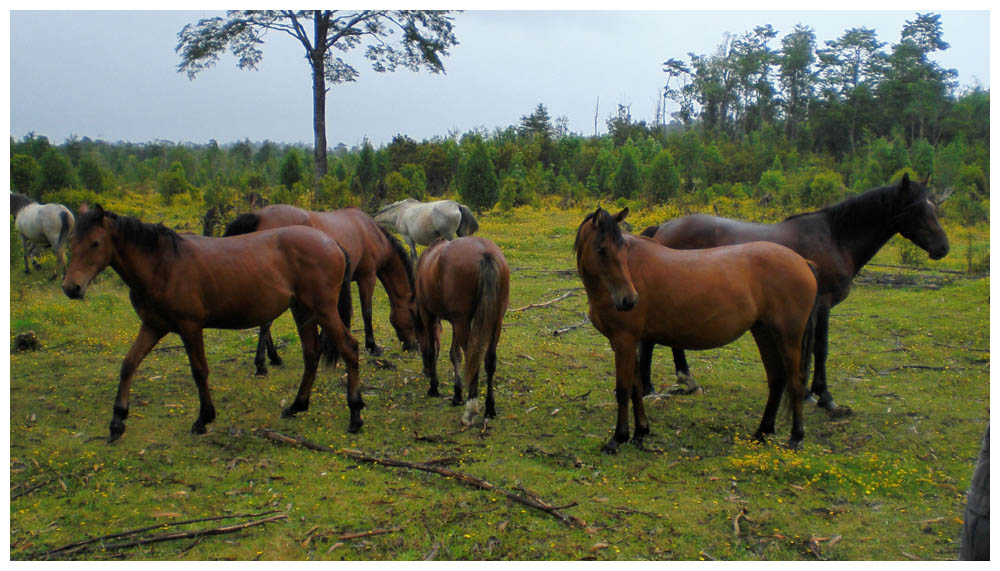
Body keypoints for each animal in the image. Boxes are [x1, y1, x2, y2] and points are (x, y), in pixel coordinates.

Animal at [61, 206, 364, 442]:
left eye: (95, 243)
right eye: (71, 241)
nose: (71, 288)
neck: (163, 265)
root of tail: (332, 242)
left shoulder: (189, 327)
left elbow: (199, 371)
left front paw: (203, 419)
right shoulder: (153, 326)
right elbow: (128, 365)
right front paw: (117, 422)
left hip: (323, 311)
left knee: (349, 348)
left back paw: (355, 415)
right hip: (303, 312)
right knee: (312, 354)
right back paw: (297, 406)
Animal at [225, 203, 416, 374]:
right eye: (414, 315)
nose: (413, 346)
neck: (370, 232)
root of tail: (258, 216)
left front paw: (325, 344)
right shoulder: (367, 277)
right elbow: (367, 312)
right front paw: (372, 346)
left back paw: (273, 358)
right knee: (266, 323)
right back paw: (263, 363)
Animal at [412, 236, 508, 424]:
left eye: (418, 340)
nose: (425, 371)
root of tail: (485, 252)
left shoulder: (429, 315)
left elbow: (434, 350)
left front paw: (434, 387)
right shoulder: (455, 322)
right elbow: (455, 354)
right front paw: (457, 394)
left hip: (463, 322)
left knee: (473, 357)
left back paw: (471, 409)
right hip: (495, 321)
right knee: (489, 360)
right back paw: (489, 408)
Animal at [576, 208, 816, 454]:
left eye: (623, 248)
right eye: (602, 250)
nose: (629, 300)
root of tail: (802, 261)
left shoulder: (624, 340)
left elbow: (624, 389)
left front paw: (618, 438)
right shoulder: (625, 342)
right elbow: (635, 387)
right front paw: (640, 432)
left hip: (788, 338)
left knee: (795, 382)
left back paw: (796, 437)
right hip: (764, 333)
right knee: (776, 380)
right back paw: (763, 431)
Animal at [644, 174, 948, 412]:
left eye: (934, 207)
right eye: (917, 209)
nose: (943, 247)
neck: (834, 238)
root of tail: (663, 228)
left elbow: (807, 348)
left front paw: (806, 392)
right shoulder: (823, 304)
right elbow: (820, 348)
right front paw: (824, 396)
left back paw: (685, 380)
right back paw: (652, 387)